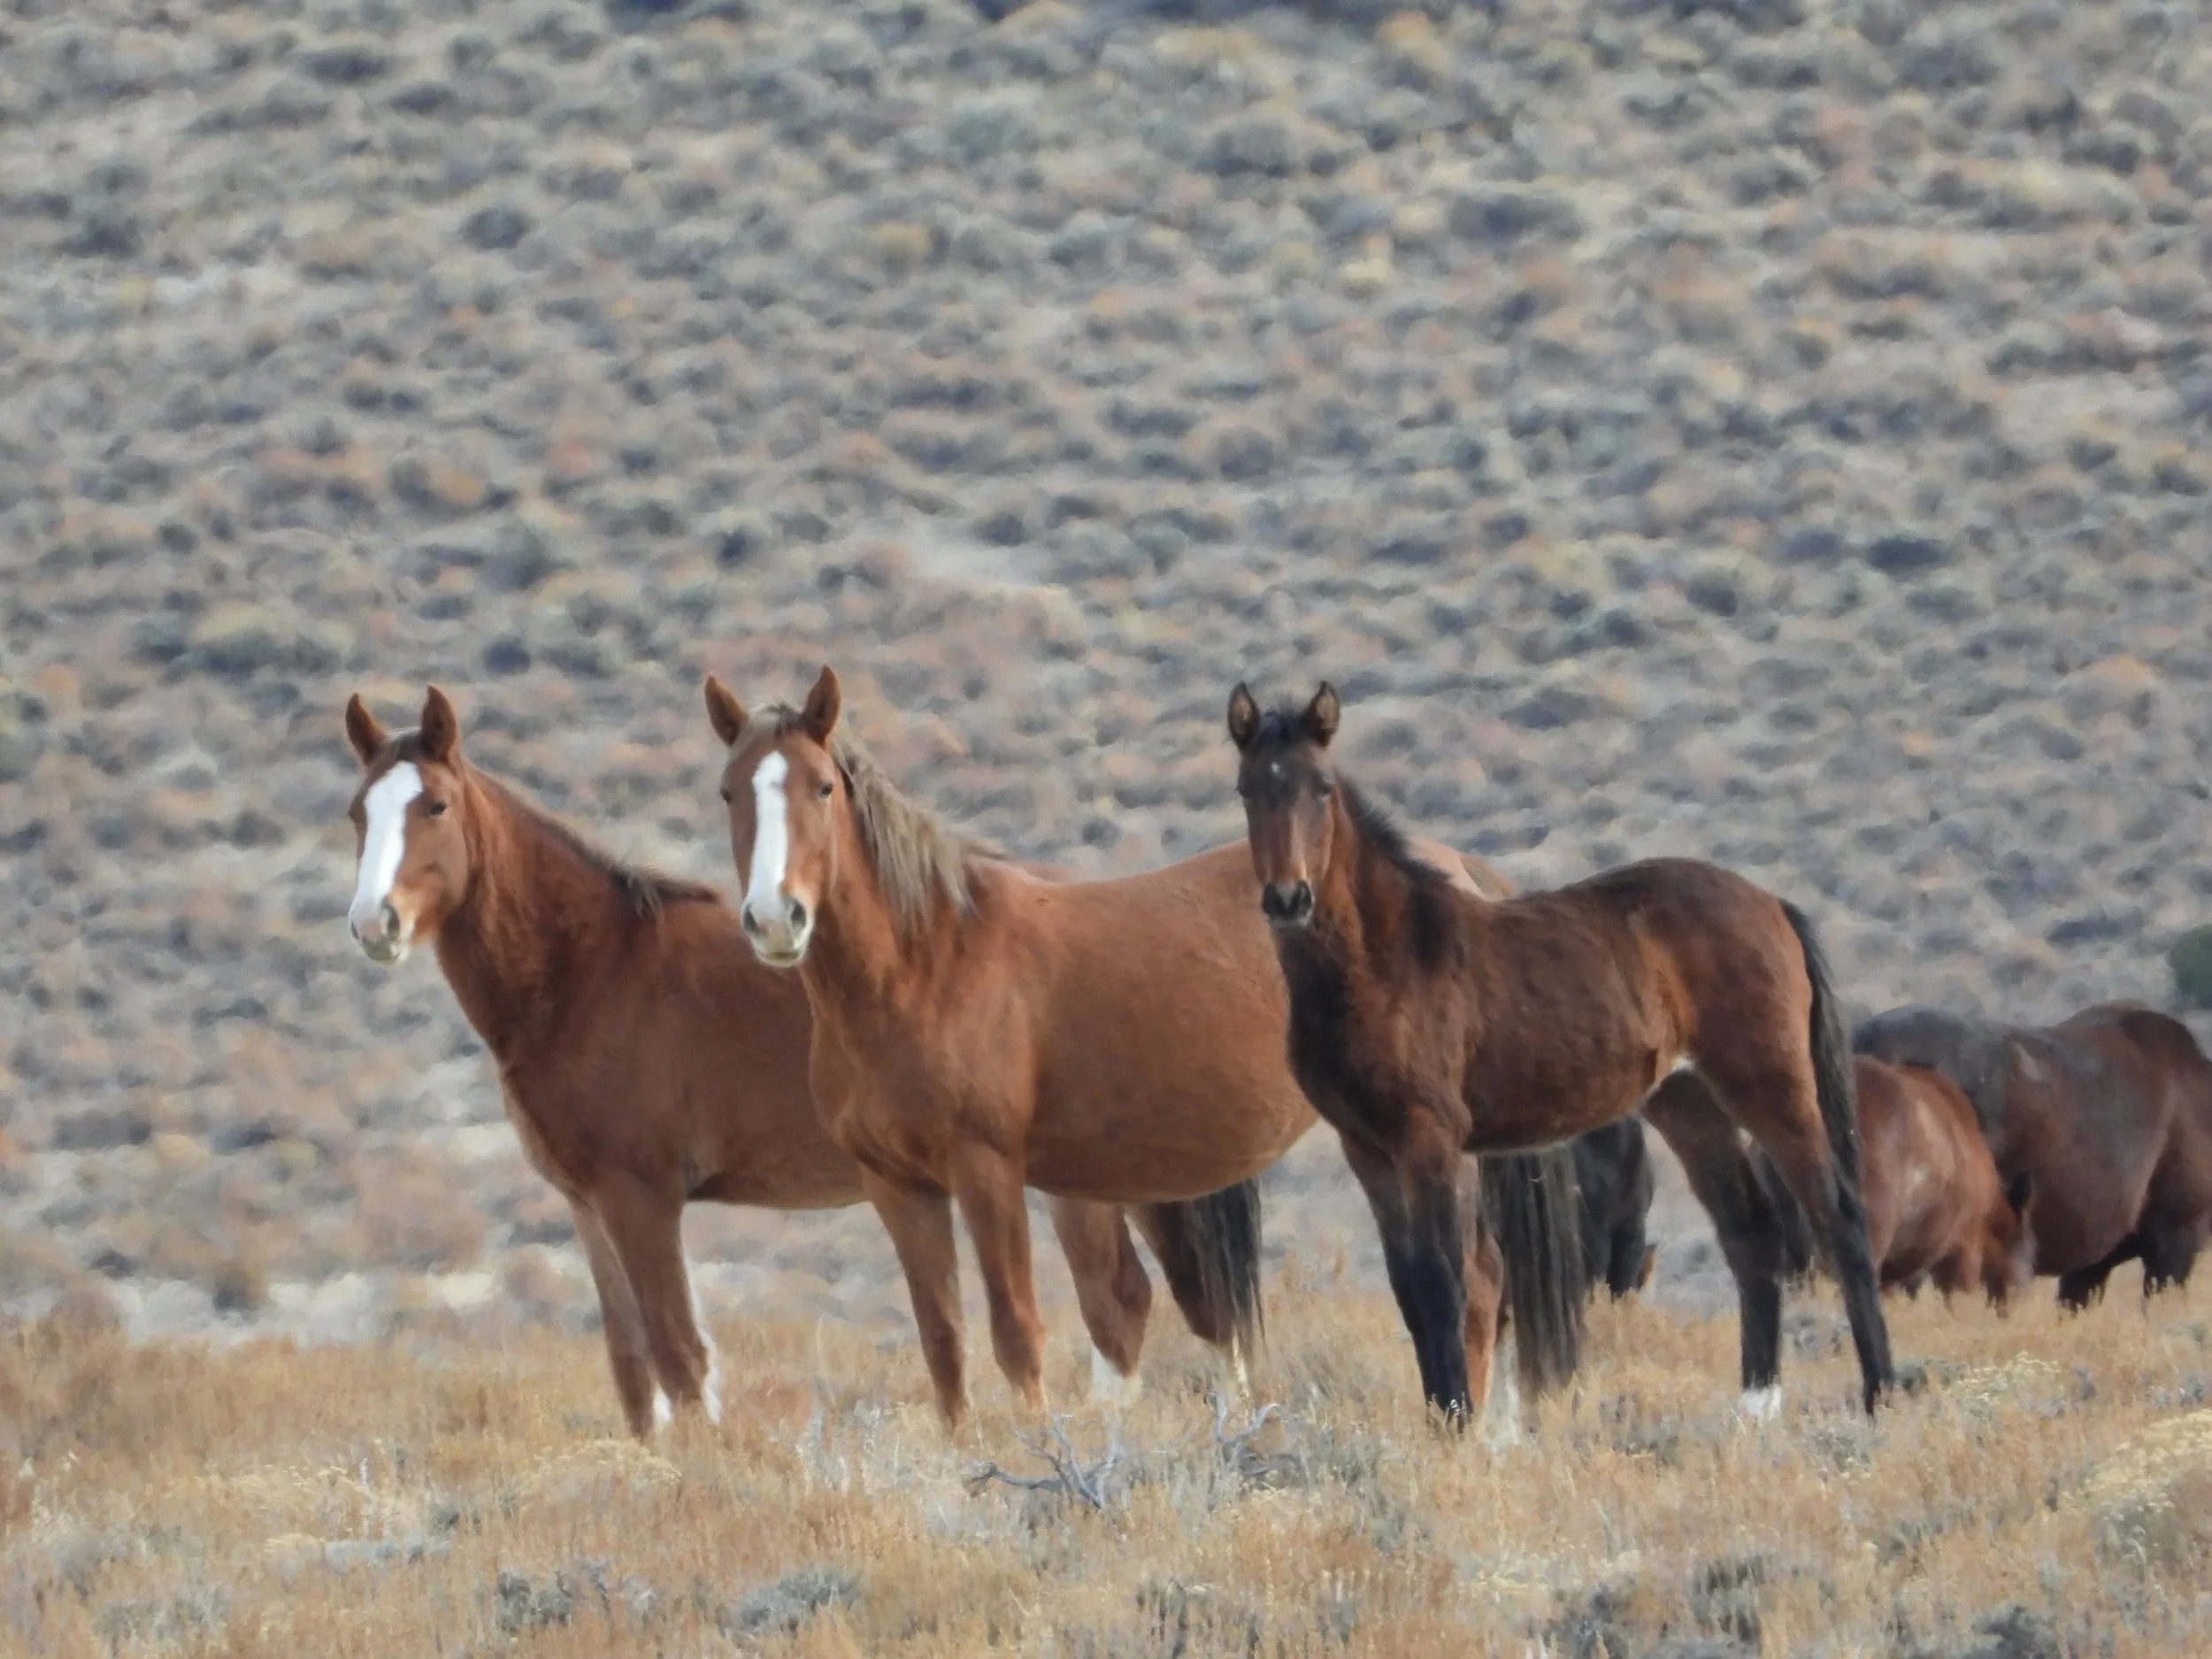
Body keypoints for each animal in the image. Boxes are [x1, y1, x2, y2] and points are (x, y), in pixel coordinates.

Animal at [341, 687, 1270, 1437]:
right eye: (358, 812)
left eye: (434, 805)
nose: (373, 924)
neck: (590, 969)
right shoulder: (586, 1205)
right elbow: (632, 1368)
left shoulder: (642, 1198)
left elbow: (679, 1355)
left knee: (1129, 1303)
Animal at [702, 666, 1589, 1434]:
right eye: (728, 792)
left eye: (822, 787)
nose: (776, 919)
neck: (926, 962)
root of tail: (1461, 872)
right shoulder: (898, 1185)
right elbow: (943, 1341)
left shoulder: (988, 1169)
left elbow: (1017, 1331)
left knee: (1480, 1283)